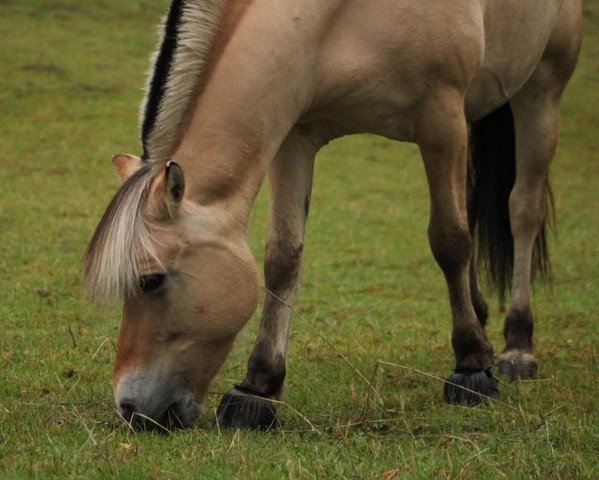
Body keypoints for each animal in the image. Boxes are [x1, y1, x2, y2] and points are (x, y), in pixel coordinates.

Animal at [83, 0, 580, 428]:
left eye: (151, 280)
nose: (130, 408)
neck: (340, 17)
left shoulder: (441, 120)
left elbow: (449, 240)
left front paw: (472, 368)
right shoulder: (296, 137)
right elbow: (283, 258)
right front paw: (257, 389)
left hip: (541, 90)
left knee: (522, 210)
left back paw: (516, 348)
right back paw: (479, 314)